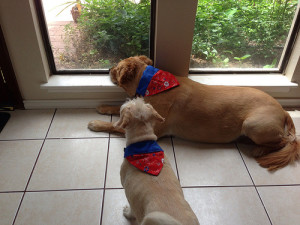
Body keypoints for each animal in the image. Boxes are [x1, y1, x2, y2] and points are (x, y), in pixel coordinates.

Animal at [89, 55, 300, 171]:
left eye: (116, 67)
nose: (108, 68)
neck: (151, 83)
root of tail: (283, 110)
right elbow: (118, 108)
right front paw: (104, 107)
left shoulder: (153, 130)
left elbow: (116, 125)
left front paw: (96, 124)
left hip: (253, 124)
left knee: (284, 141)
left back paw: (259, 149)